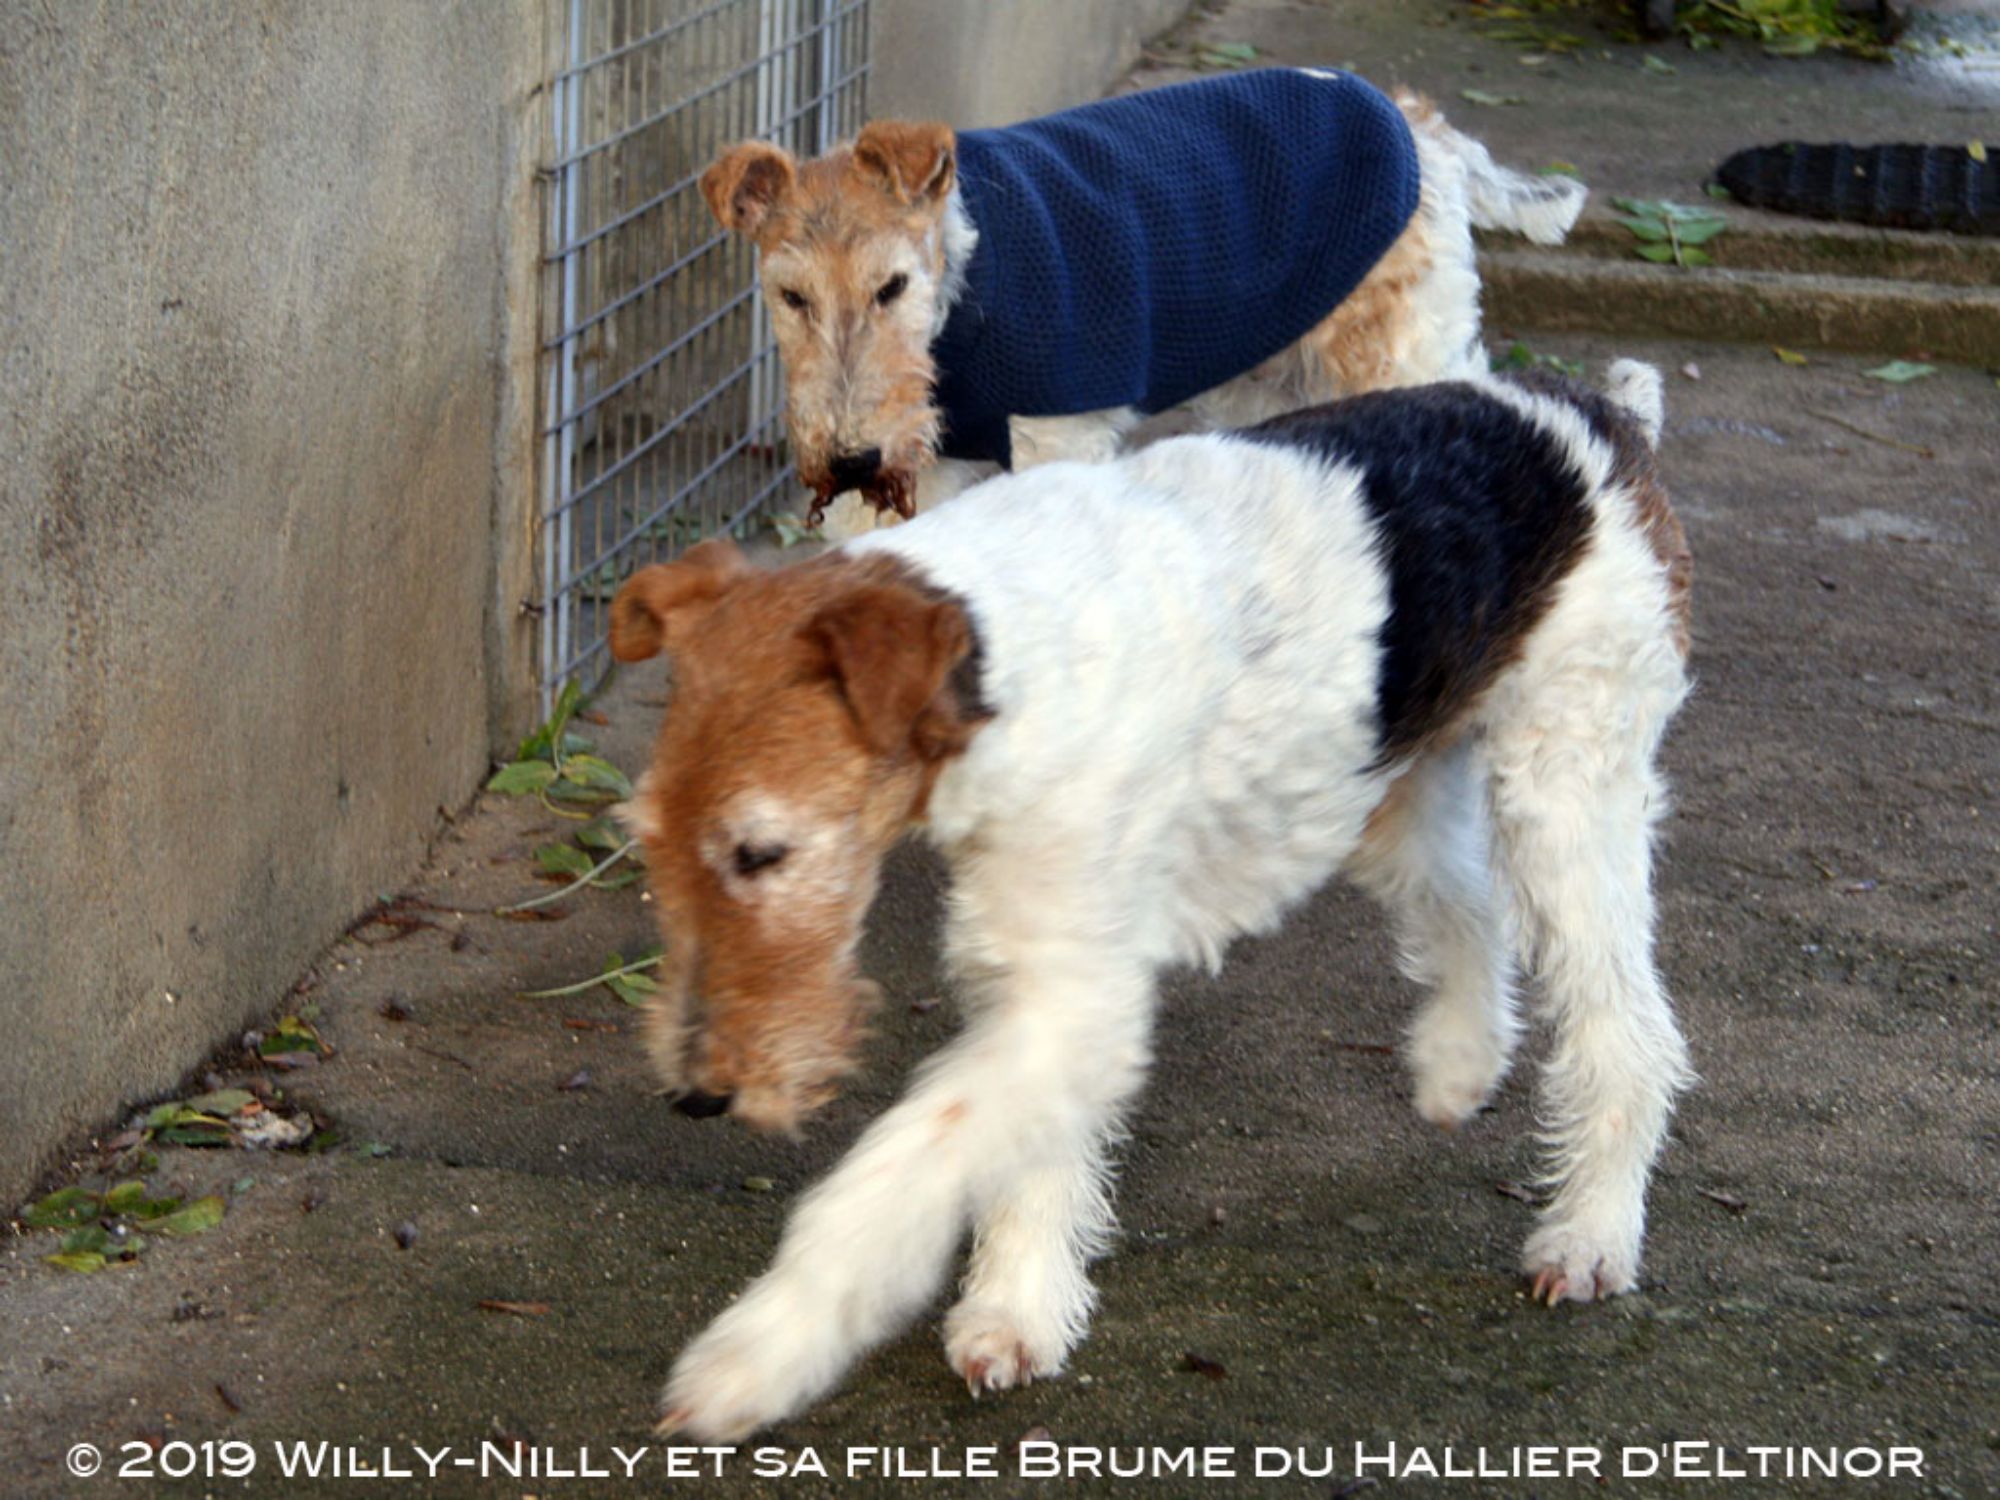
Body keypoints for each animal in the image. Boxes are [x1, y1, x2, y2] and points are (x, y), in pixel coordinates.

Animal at [609, 361, 1693, 1440]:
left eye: (762, 851)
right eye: (648, 838)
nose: (697, 1095)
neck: (1004, 655)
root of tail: (1594, 416)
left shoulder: (1074, 987)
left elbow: (895, 1171)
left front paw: (752, 1358)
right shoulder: (1037, 956)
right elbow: (1025, 1147)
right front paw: (1018, 1311)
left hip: (1568, 786)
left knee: (1626, 1028)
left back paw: (1587, 1238)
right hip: (1391, 779)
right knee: (1466, 906)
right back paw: (1456, 1069)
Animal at [701, 68, 1586, 533]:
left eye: (891, 286)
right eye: (791, 296)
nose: (850, 458)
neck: (964, 286)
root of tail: (1420, 124)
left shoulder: (1055, 438)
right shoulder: (925, 466)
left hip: (1400, 354)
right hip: (1270, 383)